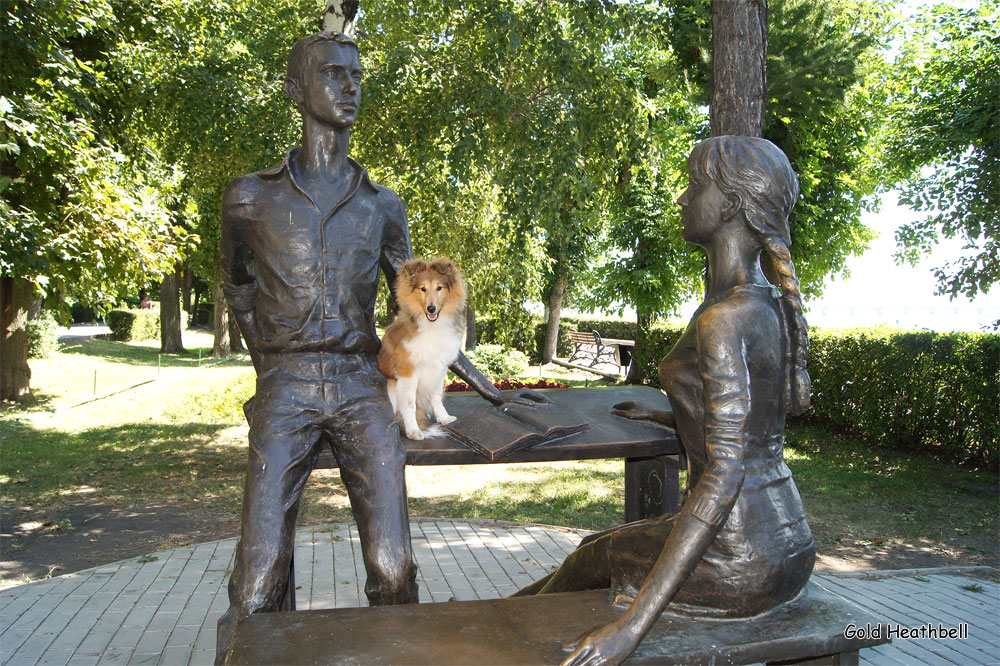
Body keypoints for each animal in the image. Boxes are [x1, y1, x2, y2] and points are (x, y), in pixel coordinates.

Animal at [376, 256, 466, 438]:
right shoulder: (407, 372)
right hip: (391, 383)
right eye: (423, 289)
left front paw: (443, 417)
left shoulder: (439, 368)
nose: (431, 309)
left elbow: (436, 396)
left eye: (439, 288)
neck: (431, 325)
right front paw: (413, 430)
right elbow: (409, 404)